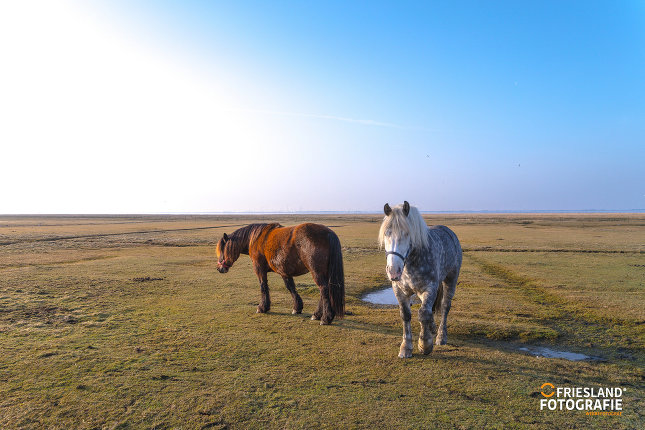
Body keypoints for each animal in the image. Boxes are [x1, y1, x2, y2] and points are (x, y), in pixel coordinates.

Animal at [216, 223, 344, 324]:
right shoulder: (284, 272)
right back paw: (317, 315)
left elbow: (263, 286)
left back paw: (326, 318)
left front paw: (262, 308)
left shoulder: (259, 269)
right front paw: (297, 308)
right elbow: (291, 288)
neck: (255, 239)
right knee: (324, 290)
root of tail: (328, 233)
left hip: (316, 271)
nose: (219, 268)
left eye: (222, 249)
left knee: (324, 289)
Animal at [378, 203, 462, 358]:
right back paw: (432, 327)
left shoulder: (429, 288)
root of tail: (449, 231)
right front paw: (406, 347)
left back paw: (441, 336)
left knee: (445, 306)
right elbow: (406, 315)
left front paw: (425, 344)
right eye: (387, 233)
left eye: (407, 233)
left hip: (451, 279)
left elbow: (423, 314)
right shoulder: (399, 290)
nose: (393, 271)